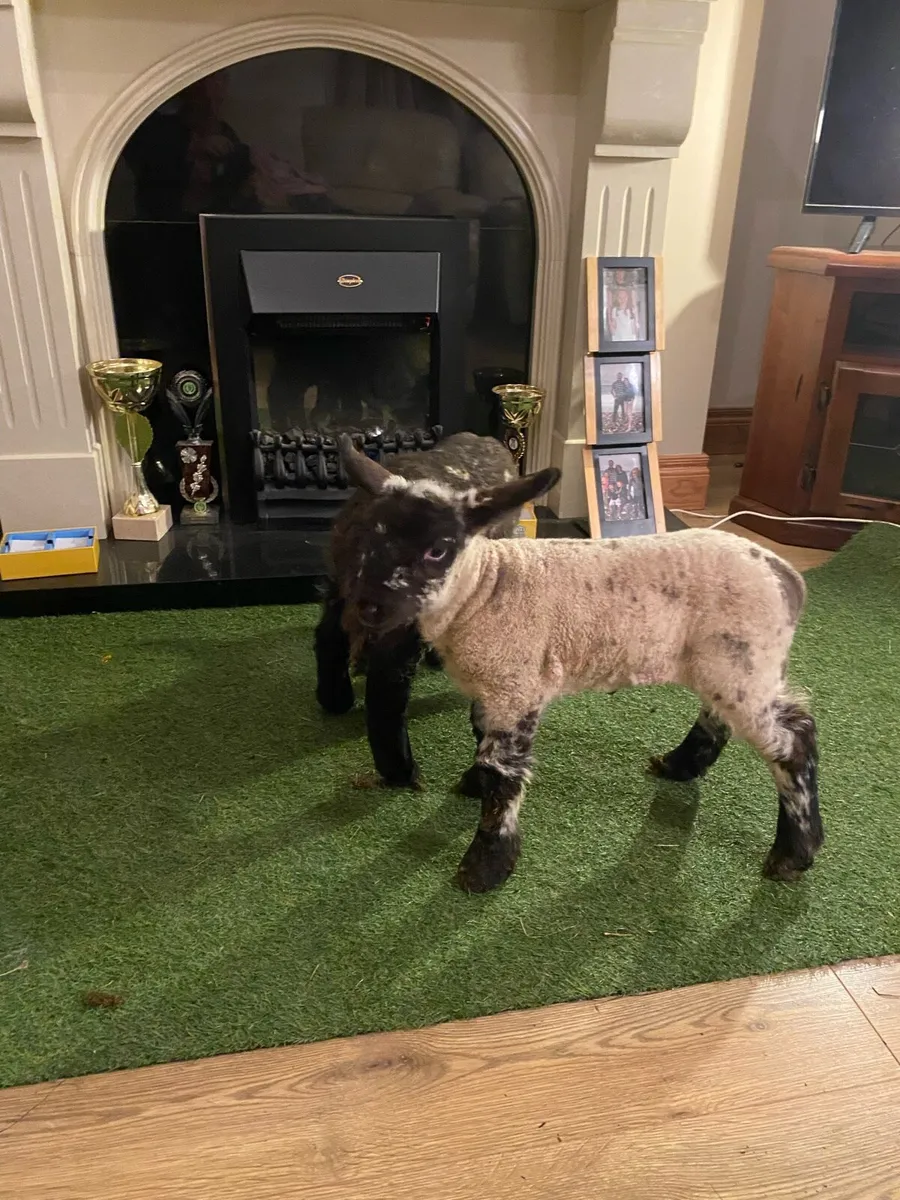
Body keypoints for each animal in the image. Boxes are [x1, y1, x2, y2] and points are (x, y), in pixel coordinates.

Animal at [336, 435, 824, 893]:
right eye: (368, 540)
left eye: (438, 550)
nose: (368, 609)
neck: (483, 589)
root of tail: (785, 575)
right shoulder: (496, 684)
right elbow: (482, 740)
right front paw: (472, 788)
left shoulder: (516, 685)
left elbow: (502, 771)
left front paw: (485, 867)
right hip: (726, 660)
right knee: (720, 717)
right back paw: (679, 766)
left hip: (745, 661)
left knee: (793, 740)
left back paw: (793, 854)